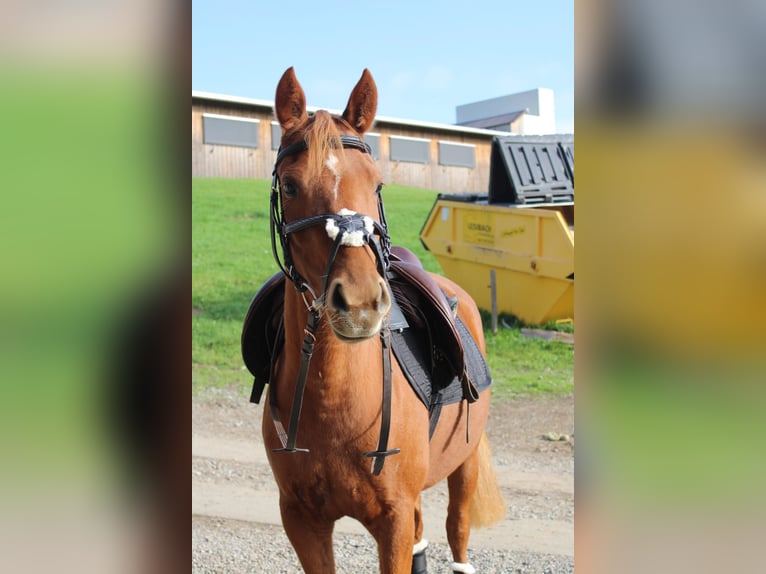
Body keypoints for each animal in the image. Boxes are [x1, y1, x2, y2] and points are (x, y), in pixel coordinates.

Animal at [254, 67, 505, 574]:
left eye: (376, 184)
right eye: (290, 186)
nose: (361, 302)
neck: (334, 397)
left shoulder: (392, 522)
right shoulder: (301, 521)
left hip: (465, 464)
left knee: (457, 527)